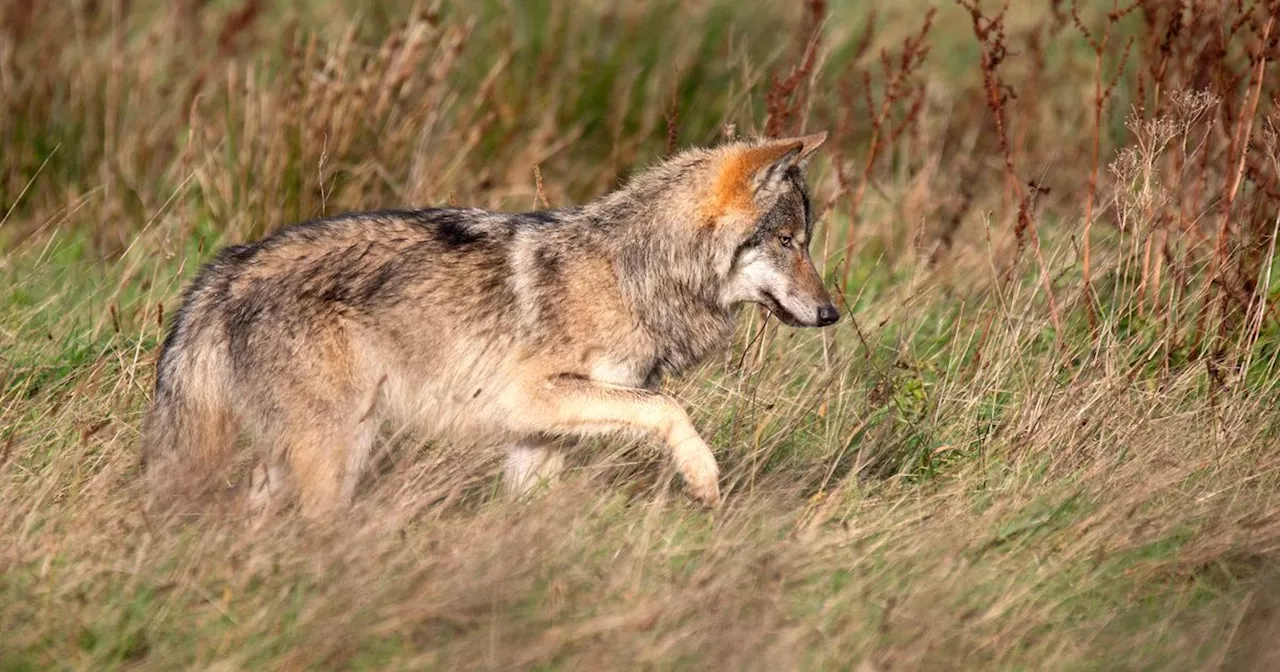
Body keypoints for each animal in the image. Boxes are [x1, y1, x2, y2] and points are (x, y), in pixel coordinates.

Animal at [142, 132, 839, 519]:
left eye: (805, 241)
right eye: (786, 242)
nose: (832, 313)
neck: (632, 272)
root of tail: (229, 267)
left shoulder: (536, 434)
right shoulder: (540, 396)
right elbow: (670, 408)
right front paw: (702, 476)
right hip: (338, 447)